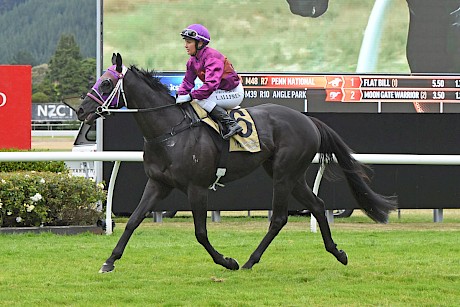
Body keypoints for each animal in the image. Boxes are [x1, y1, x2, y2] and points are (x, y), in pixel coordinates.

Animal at [77, 54, 398, 274]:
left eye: (106, 82)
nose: (81, 110)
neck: (169, 132)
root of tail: (308, 120)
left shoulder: (197, 187)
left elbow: (200, 233)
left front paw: (227, 261)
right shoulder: (158, 183)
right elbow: (133, 220)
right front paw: (109, 261)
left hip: (284, 174)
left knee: (279, 218)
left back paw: (249, 261)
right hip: (291, 175)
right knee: (318, 206)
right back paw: (338, 253)